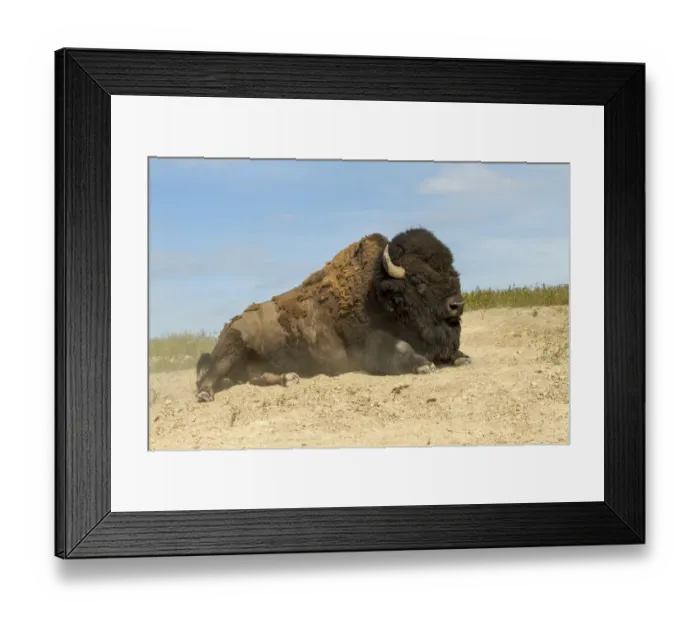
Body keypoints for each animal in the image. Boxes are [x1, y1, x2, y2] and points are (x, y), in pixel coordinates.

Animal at [195, 227, 472, 402]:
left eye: (452, 271)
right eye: (420, 281)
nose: (457, 304)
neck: (377, 293)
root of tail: (228, 326)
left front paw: (462, 358)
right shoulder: (369, 348)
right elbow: (401, 348)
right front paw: (424, 365)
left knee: (256, 378)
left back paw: (289, 377)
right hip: (231, 351)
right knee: (208, 377)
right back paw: (205, 395)